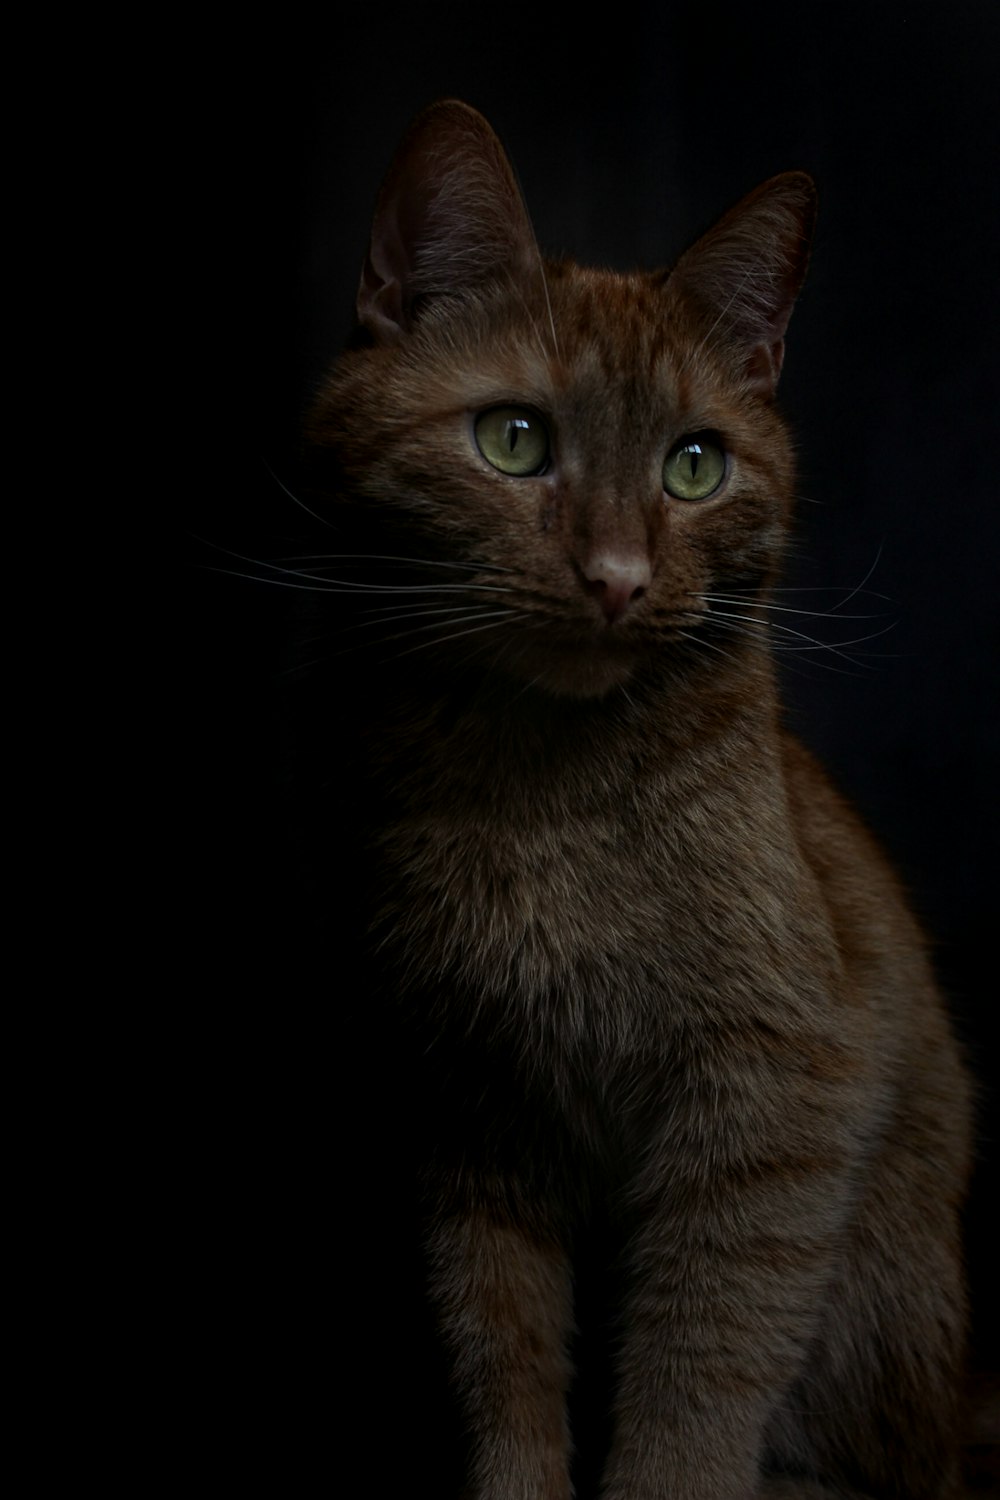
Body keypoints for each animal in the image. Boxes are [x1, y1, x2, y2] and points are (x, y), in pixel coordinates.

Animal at [295, 99, 971, 1494]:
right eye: (514, 439)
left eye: (695, 465)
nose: (614, 577)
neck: (544, 802)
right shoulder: (472, 1111)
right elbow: (499, 1346)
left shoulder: (772, 1098)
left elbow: (698, 1363)